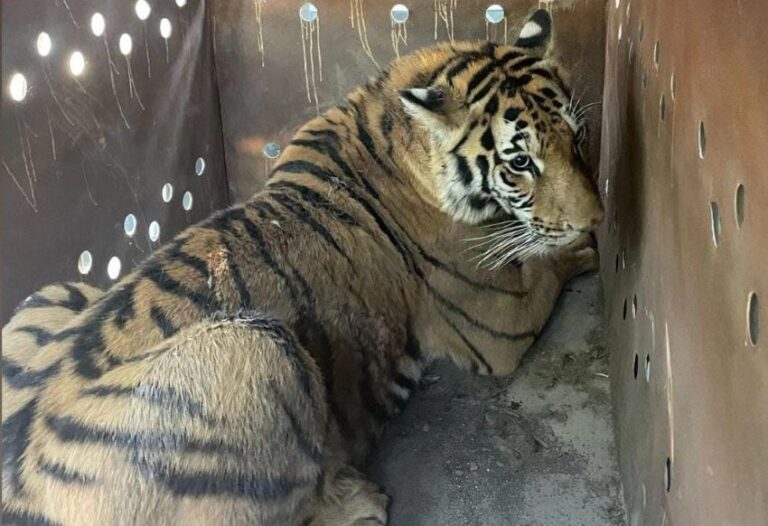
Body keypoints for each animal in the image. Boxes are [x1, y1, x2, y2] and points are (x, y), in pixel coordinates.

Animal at [2, 9, 603, 526]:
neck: (388, 123)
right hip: (254, 343)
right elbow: (546, 264)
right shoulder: (501, 323)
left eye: (576, 137)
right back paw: (359, 502)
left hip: (53, 292)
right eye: (520, 162)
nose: (596, 215)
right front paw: (584, 249)